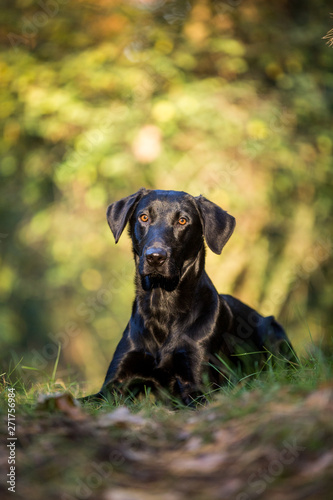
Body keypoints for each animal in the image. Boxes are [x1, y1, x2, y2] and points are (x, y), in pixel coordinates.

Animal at [83, 189, 296, 404]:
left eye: (182, 221)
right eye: (144, 217)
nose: (155, 257)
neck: (162, 305)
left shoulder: (197, 383)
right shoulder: (113, 384)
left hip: (271, 331)